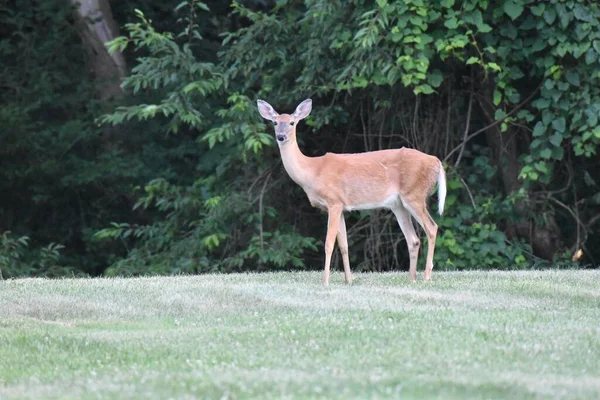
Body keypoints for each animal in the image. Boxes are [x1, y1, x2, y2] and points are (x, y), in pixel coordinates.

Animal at [258, 98, 446, 284]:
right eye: (275, 122)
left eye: (292, 122)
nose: (281, 136)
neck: (312, 171)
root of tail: (437, 162)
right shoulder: (341, 206)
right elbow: (344, 244)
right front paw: (349, 280)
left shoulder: (333, 201)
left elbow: (328, 243)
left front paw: (325, 281)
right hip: (398, 204)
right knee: (413, 239)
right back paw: (411, 278)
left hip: (414, 194)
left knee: (431, 227)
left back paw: (426, 276)